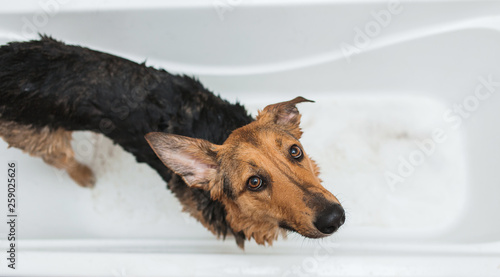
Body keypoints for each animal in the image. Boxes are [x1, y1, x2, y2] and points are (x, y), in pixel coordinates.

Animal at [0, 36, 344, 246]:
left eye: (295, 152)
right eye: (255, 182)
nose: (335, 218)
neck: (220, 128)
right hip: (41, 140)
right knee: (62, 159)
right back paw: (85, 176)